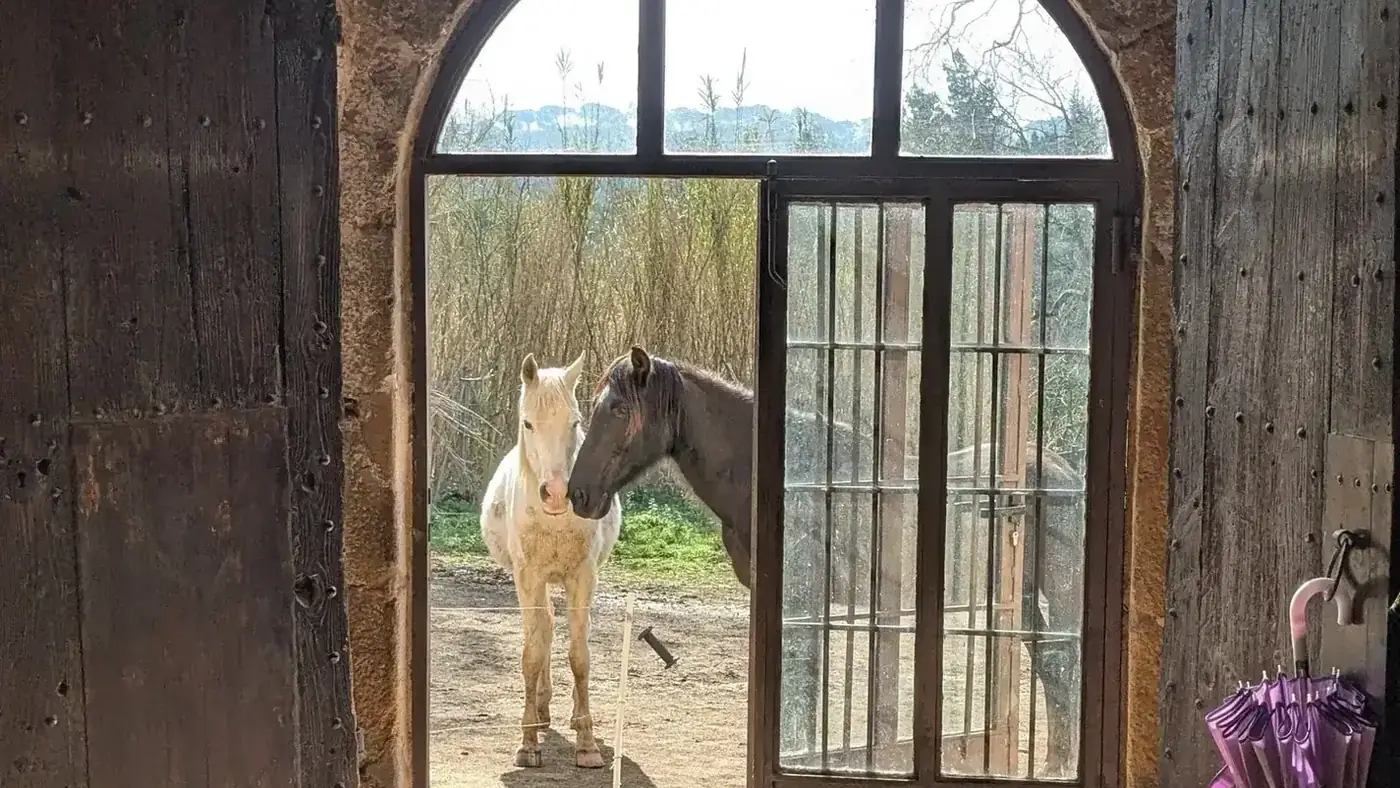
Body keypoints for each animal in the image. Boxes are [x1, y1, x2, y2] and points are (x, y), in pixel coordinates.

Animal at [479, 351, 622, 769]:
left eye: (574, 422)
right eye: (528, 422)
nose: (558, 493)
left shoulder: (583, 577)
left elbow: (580, 656)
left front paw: (587, 744)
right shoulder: (528, 577)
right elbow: (532, 652)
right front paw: (528, 744)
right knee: (543, 629)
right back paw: (541, 712)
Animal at [567, 345, 1083, 776]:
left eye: (618, 409)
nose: (579, 495)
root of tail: (1060, 472)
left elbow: (801, 680)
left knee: (1060, 663)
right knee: (1052, 668)